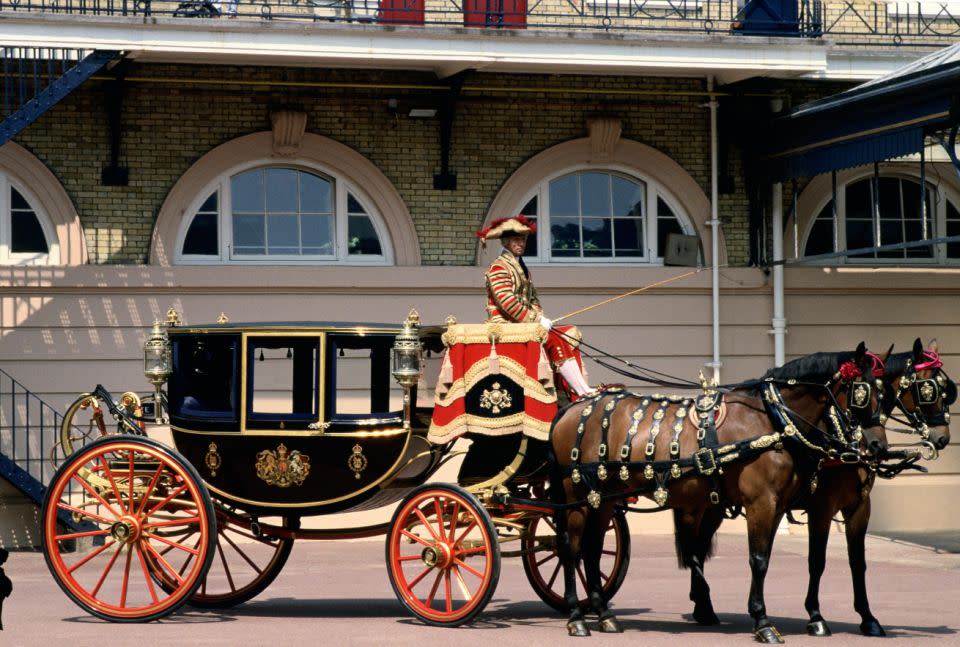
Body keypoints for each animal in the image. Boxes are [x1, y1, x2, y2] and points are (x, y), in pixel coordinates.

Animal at [548, 342, 884, 640]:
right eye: (863, 391)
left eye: (884, 392)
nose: (876, 445)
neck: (770, 420)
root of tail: (572, 408)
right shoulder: (763, 502)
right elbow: (759, 559)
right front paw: (763, 621)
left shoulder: (778, 507)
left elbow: (769, 557)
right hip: (575, 494)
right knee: (571, 548)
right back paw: (577, 617)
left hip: (604, 497)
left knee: (591, 549)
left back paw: (604, 614)